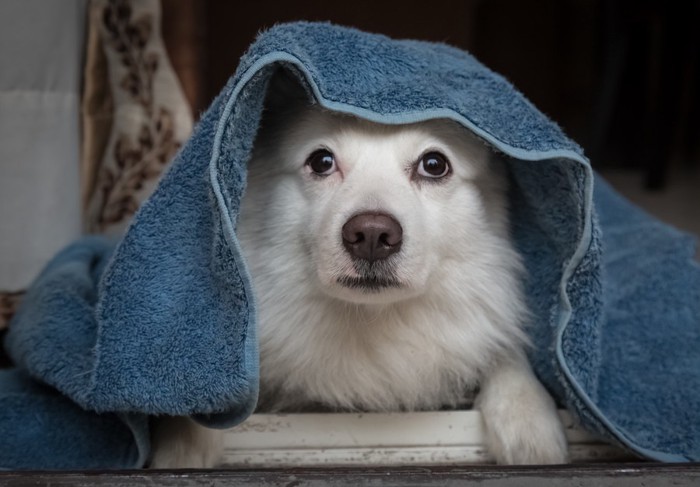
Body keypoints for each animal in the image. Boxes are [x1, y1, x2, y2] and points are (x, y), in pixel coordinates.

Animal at [149, 72, 568, 468]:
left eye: (434, 165)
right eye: (322, 161)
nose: (371, 235)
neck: (370, 321)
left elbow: (504, 353)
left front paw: (529, 421)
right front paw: (182, 442)